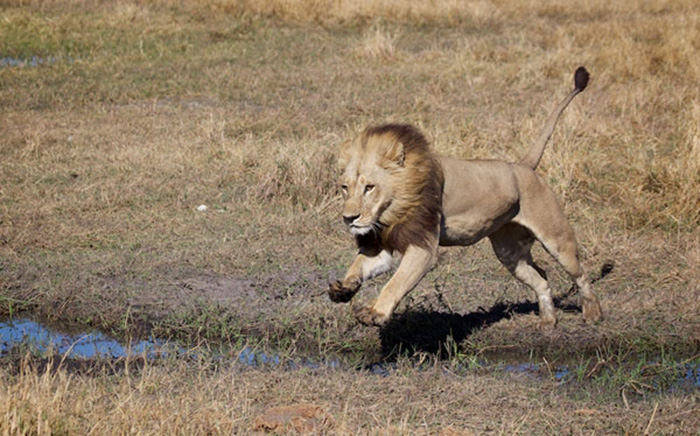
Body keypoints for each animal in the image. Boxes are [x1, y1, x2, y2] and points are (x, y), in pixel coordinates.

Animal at [328, 67, 600, 328]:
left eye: (369, 187)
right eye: (345, 187)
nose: (349, 218)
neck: (390, 212)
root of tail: (524, 166)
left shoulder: (423, 246)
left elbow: (396, 283)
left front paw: (375, 313)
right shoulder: (380, 243)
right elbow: (360, 264)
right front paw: (343, 289)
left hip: (558, 240)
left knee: (580, 275)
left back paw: (592, 313)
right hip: (509, 252)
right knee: (541, 278)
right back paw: (547, 320)